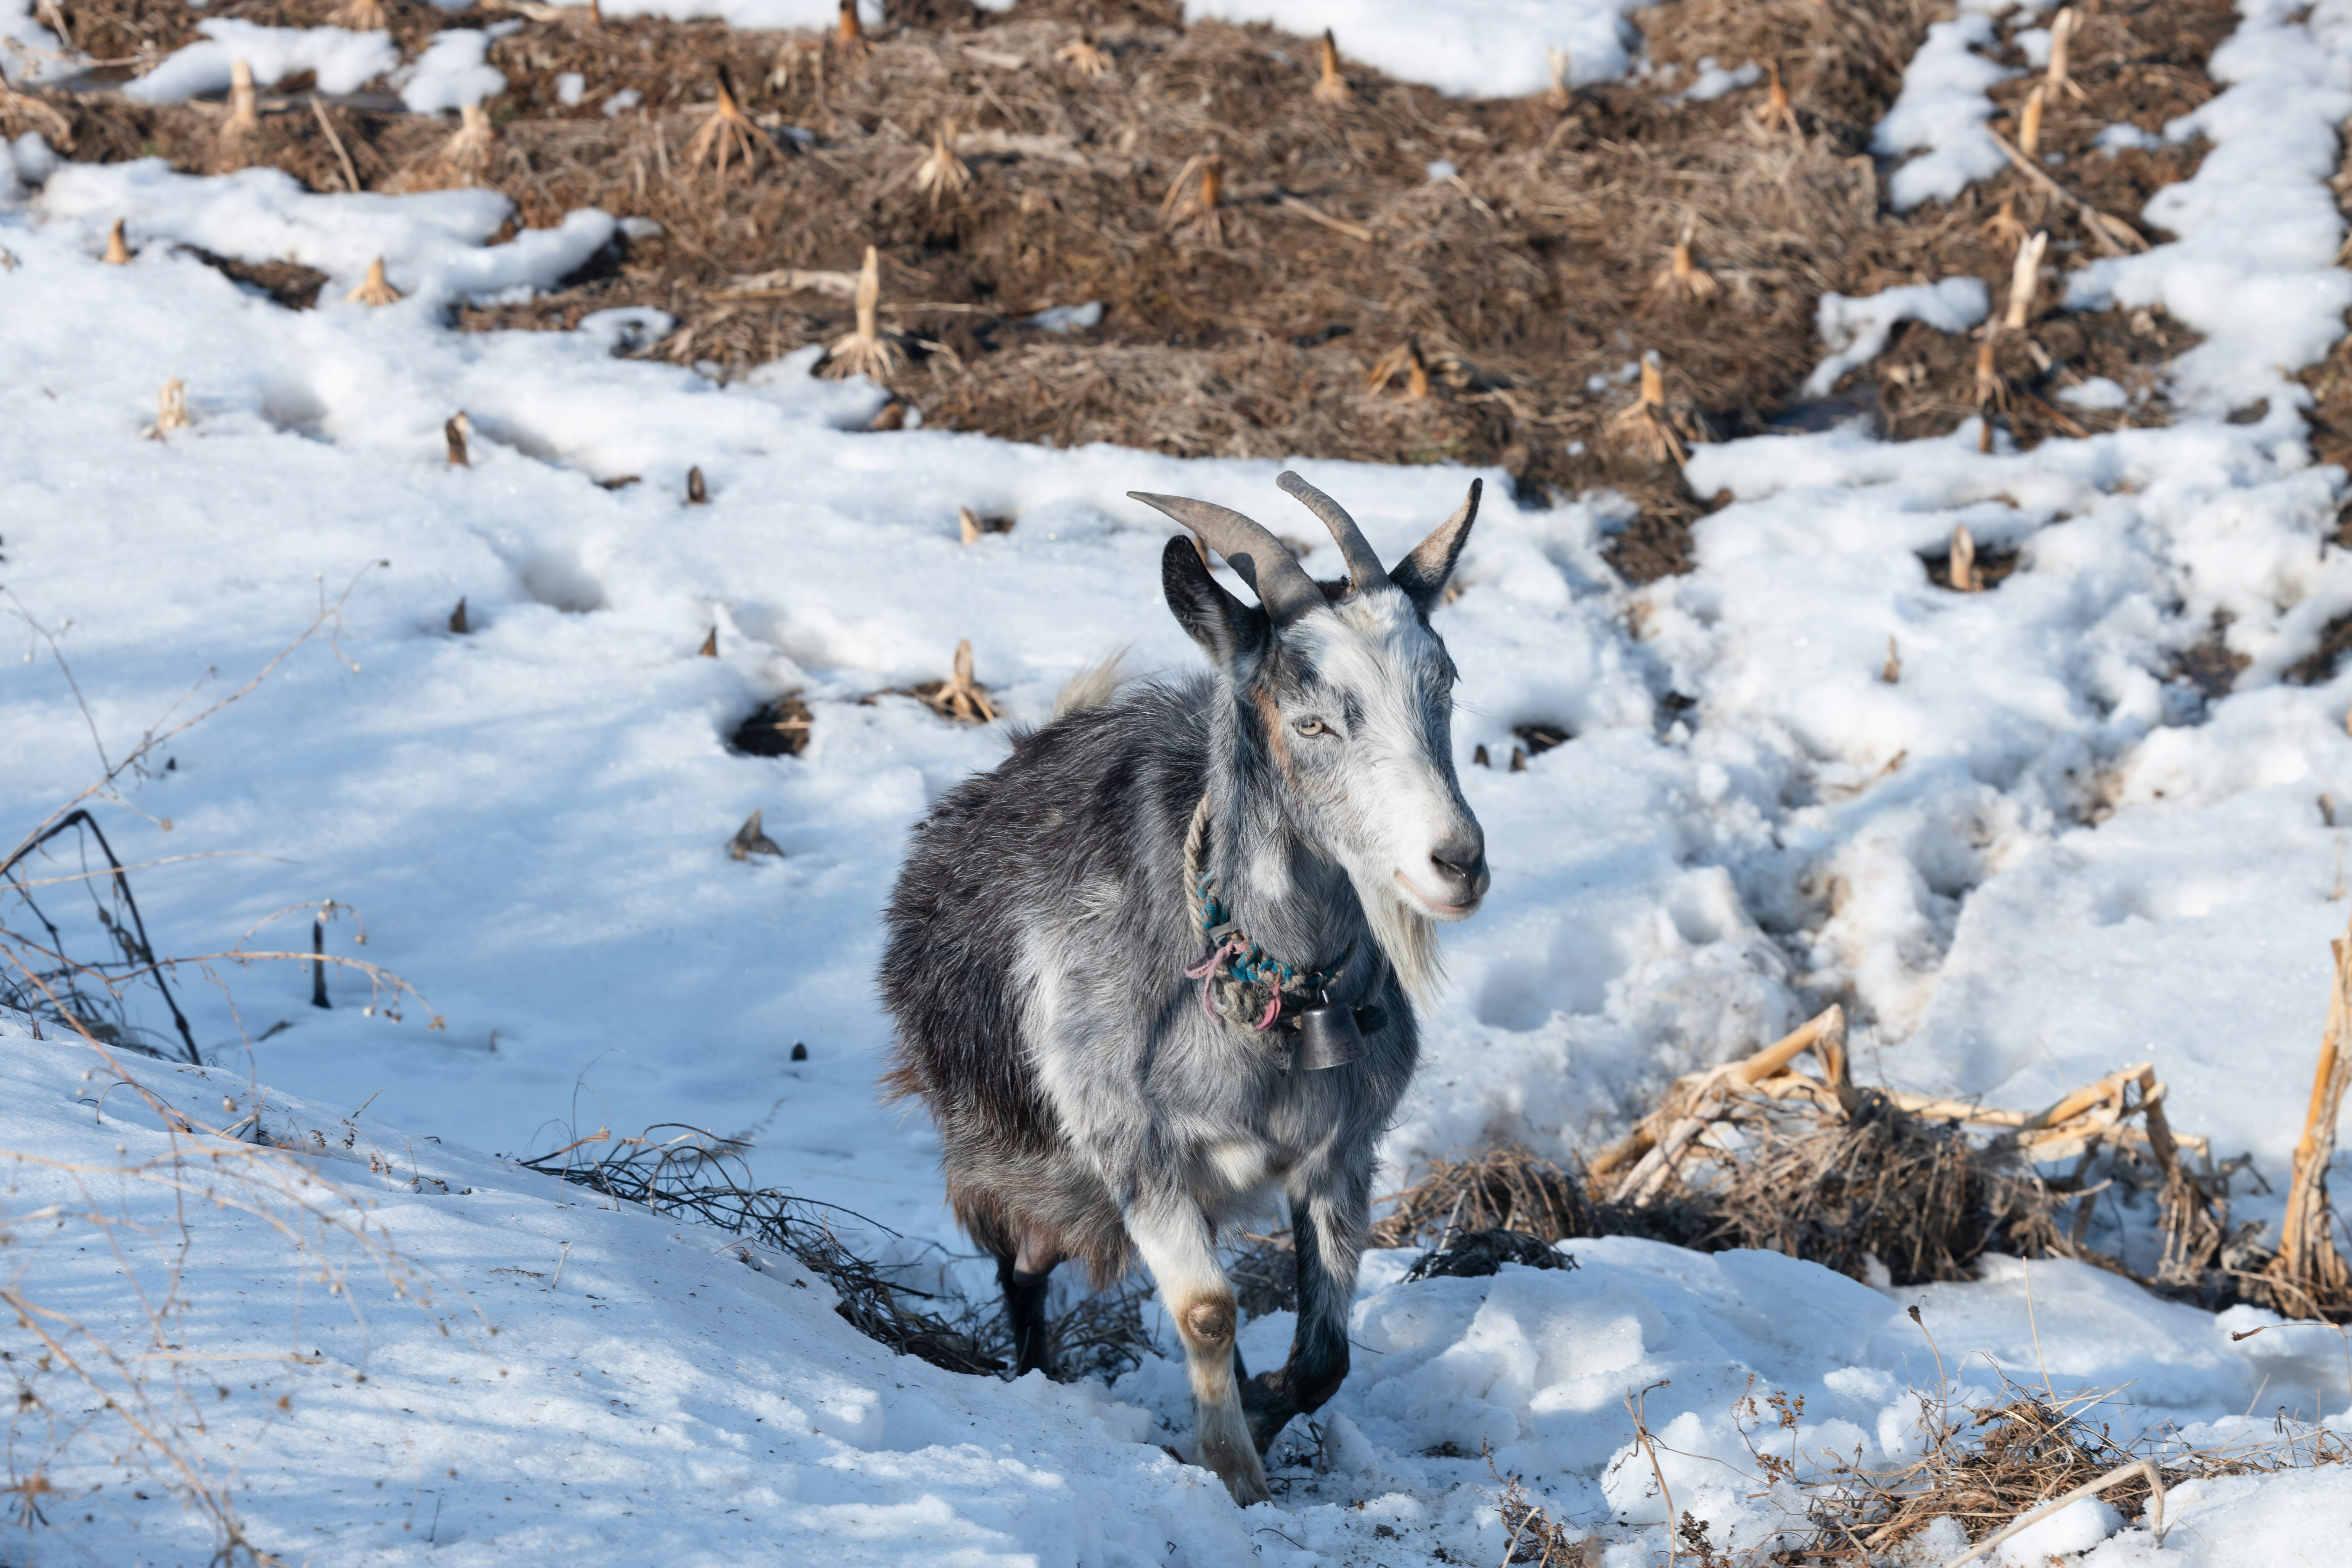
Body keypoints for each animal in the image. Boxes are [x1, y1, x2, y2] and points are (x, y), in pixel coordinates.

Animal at [881, 471, 1488, 1504]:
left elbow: (1324, 1358)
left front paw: (1258, 1411)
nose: (1458, 863)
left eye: (1442, 687)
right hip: (1019, 1165)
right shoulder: (1136, 1146)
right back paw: (1040, 1381)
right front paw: (1235, 1479)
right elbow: (1207, 1309)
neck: (1278, 1000)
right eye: (1311, 719)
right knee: (1024, 1273)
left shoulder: (1340, 1154)